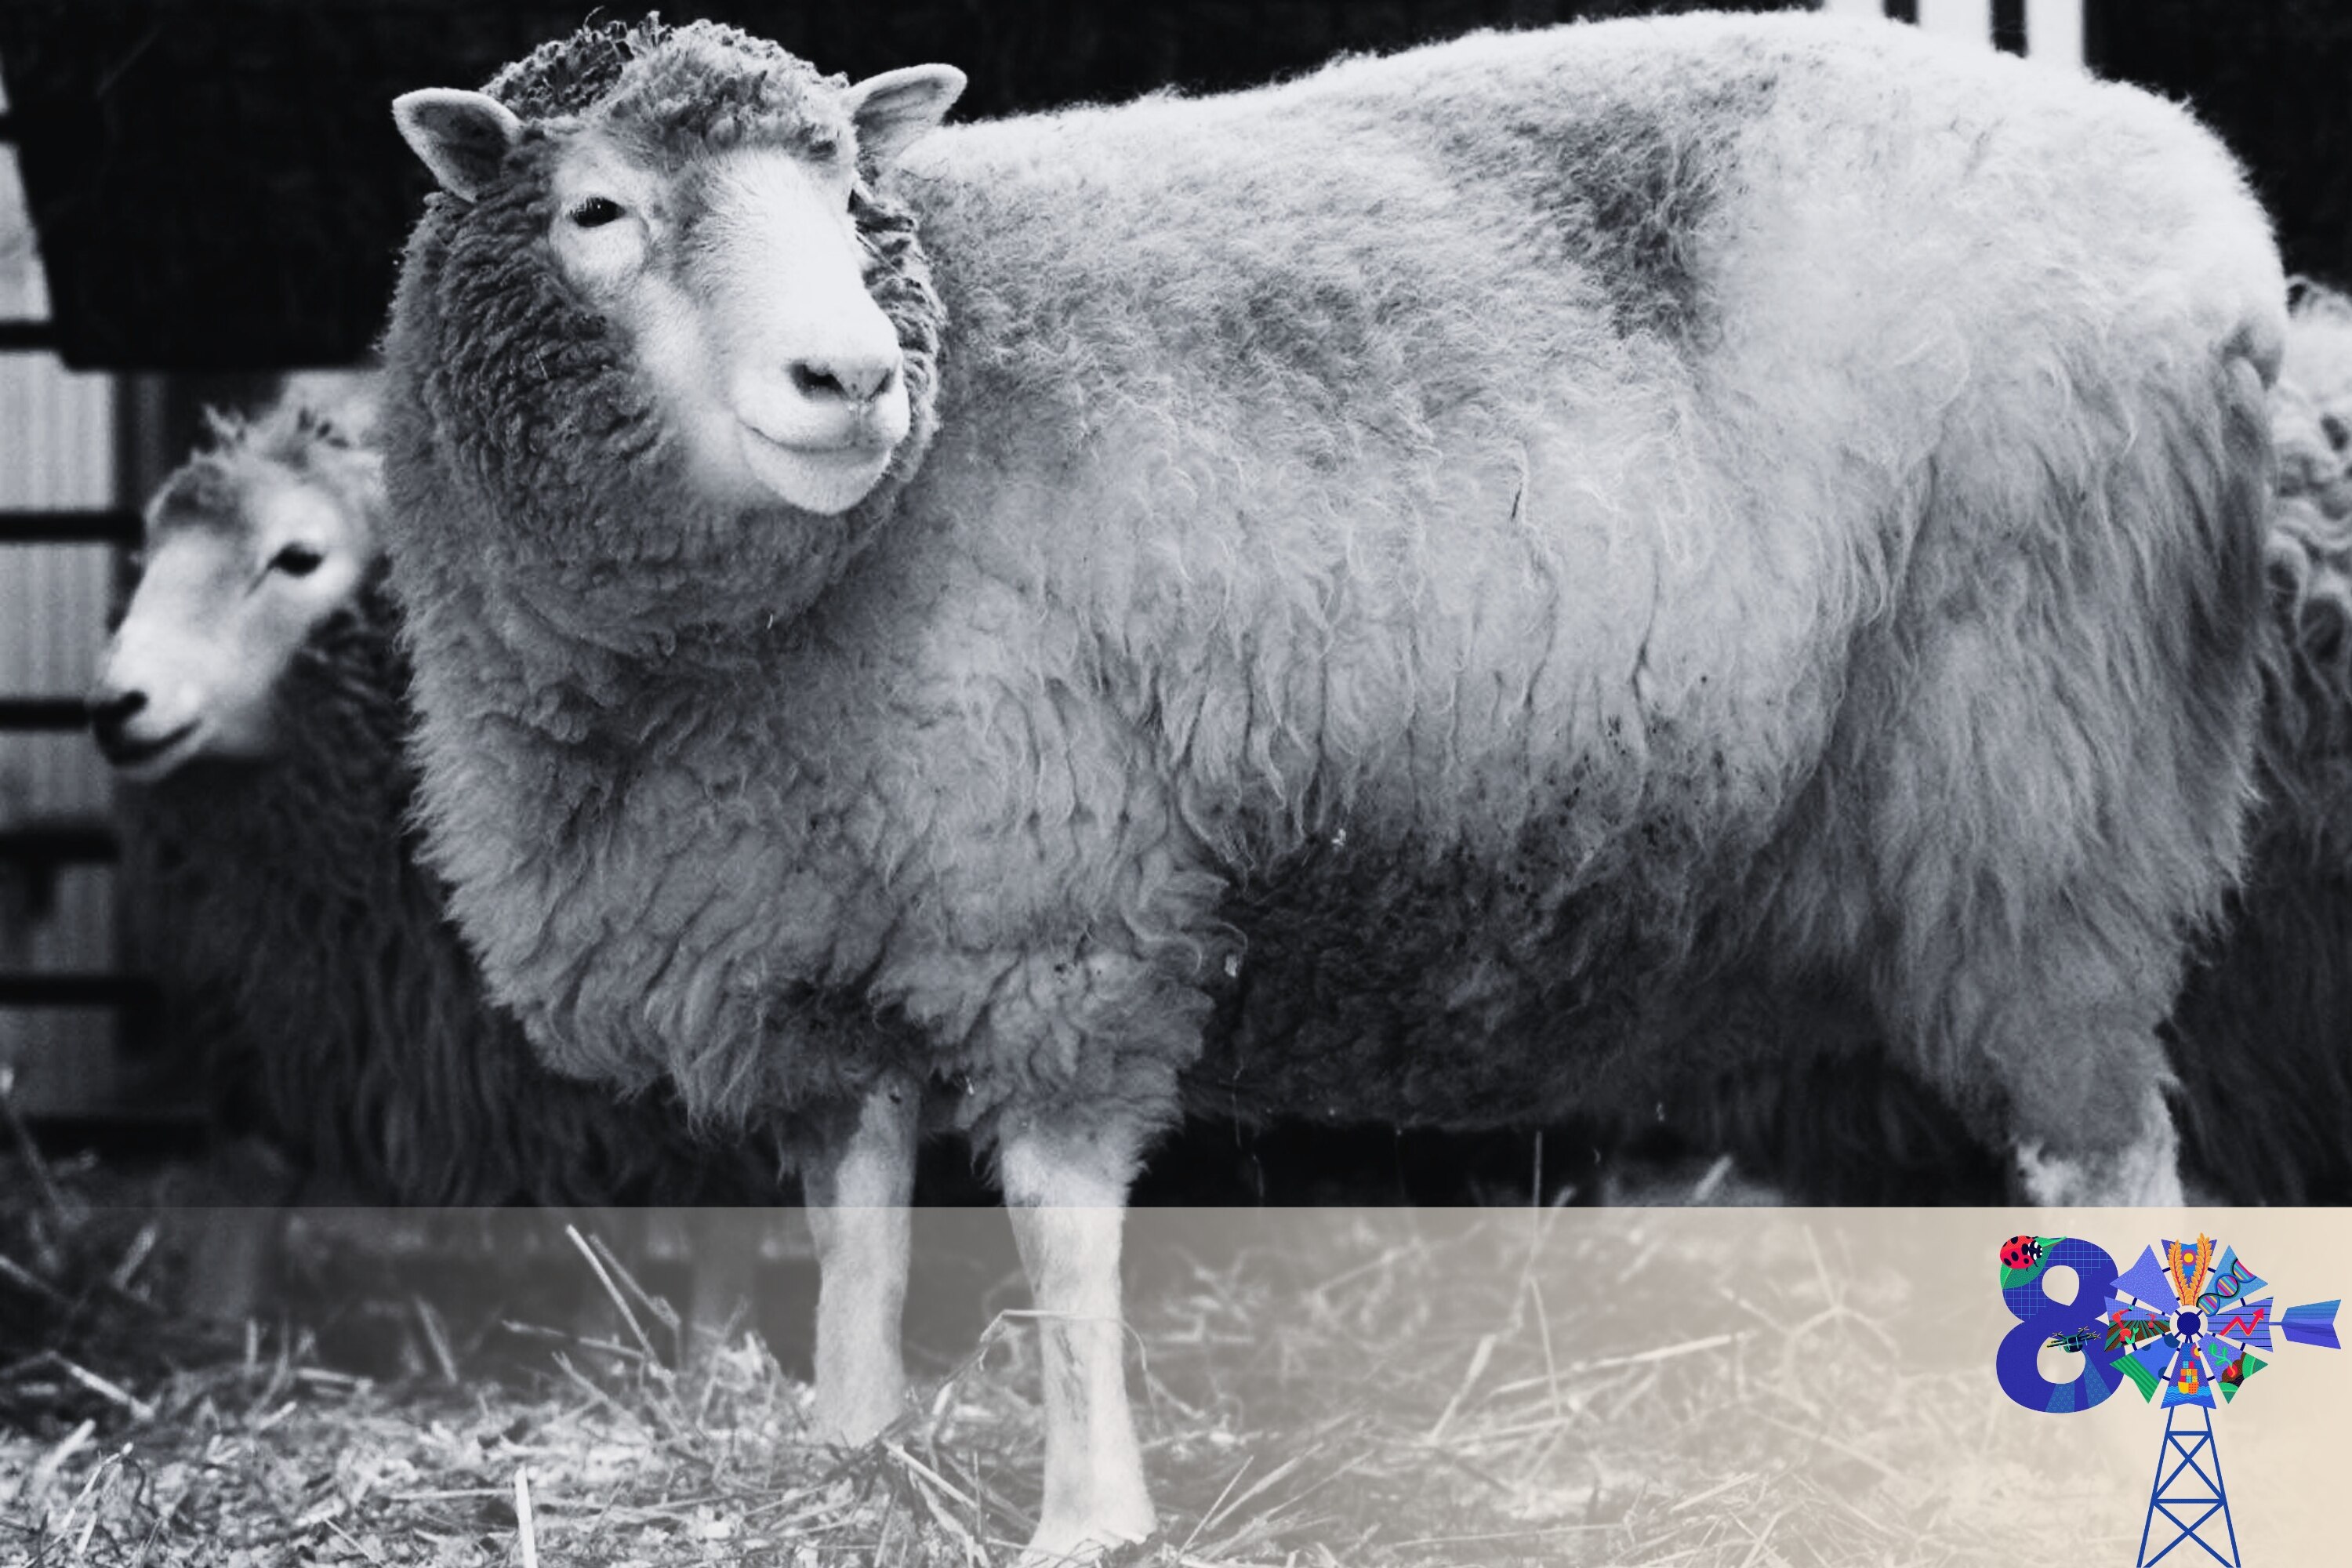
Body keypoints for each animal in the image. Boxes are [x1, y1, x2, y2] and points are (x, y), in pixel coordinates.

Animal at [88, 390, 788, 1338]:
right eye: (149, 554)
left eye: (298, 557)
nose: (117, 704)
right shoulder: (274, 1006)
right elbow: (247, 1182)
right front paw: (213, 1329)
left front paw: (688, 1352)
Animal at [380, 13, 2283, 1556]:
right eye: (597, 212)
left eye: (854, 196)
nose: (850, 379)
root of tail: (2206, 193)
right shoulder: (804, 919)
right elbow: (857, 1217)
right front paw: (849, 1448)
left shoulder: (1061, 896)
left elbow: (1062, 1230)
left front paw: (1091, 1517)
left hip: (2037, 764)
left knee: (2106, 1142)